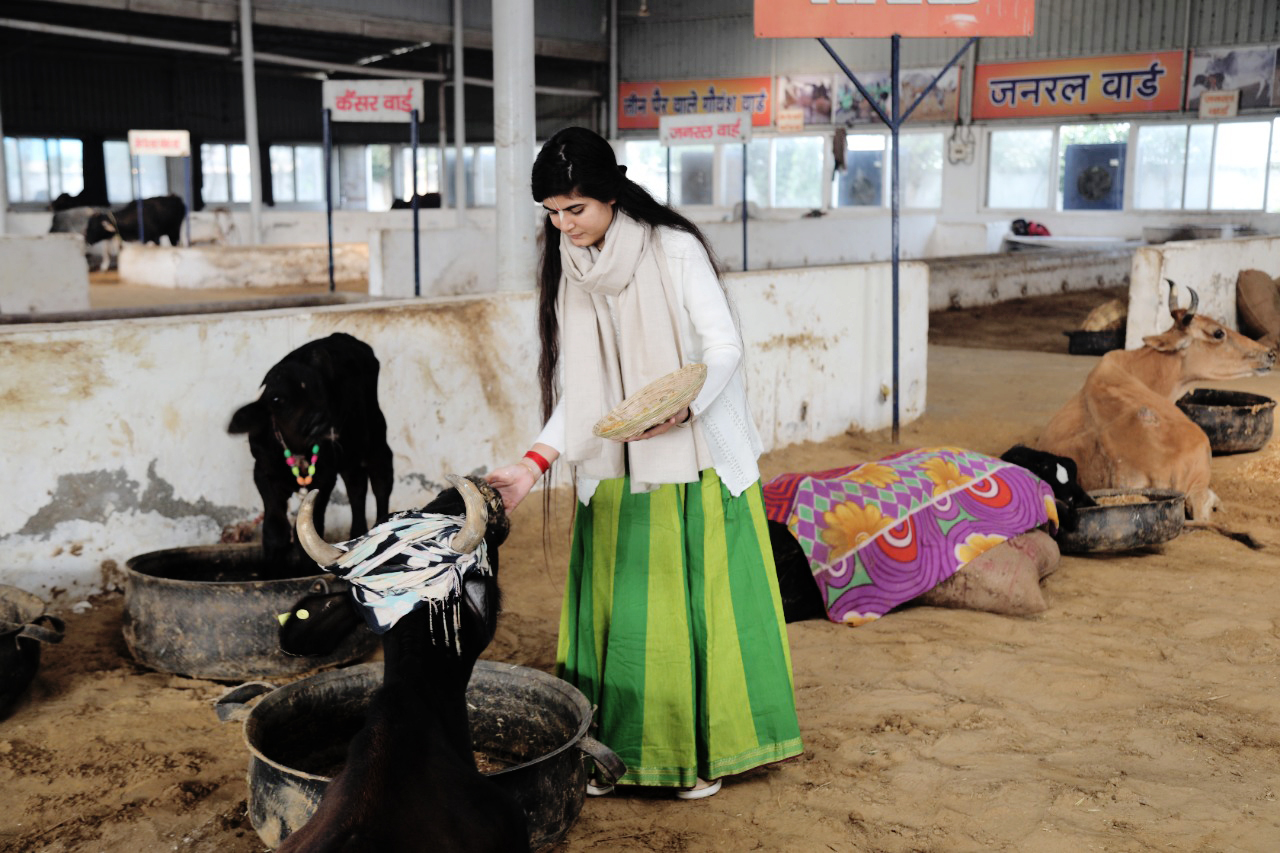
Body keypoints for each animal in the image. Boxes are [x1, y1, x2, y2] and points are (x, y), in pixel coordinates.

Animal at [227, 333, 391, 563]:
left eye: (322, 392)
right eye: (276, 399)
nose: (319, 421)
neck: (297, 449)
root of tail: (341, 336)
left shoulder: (325, 476)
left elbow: (307, 531)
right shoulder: (262, 471)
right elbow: (275, 530)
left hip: (374, 431)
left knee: (381, 477)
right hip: (348, 452)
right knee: (356, 485)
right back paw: (359, 533)